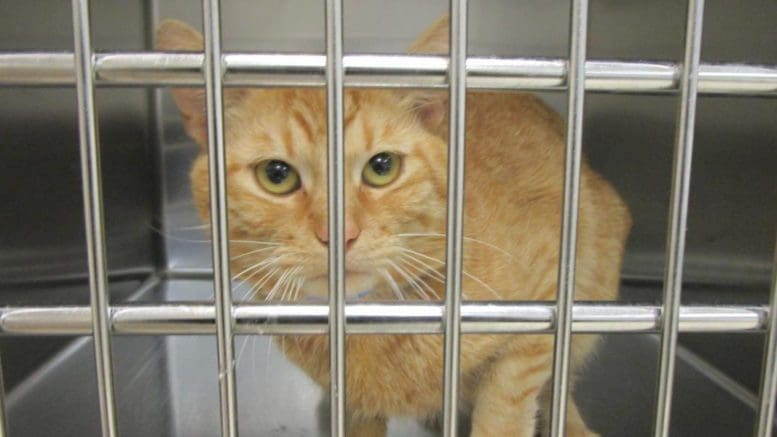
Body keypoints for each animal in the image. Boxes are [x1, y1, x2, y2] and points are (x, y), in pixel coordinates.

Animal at [158, 14, 632, 436]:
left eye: (381, 167)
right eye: (277, 175)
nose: (339, 235)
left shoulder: (543, 308)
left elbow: (509, 405)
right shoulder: (350, 402)